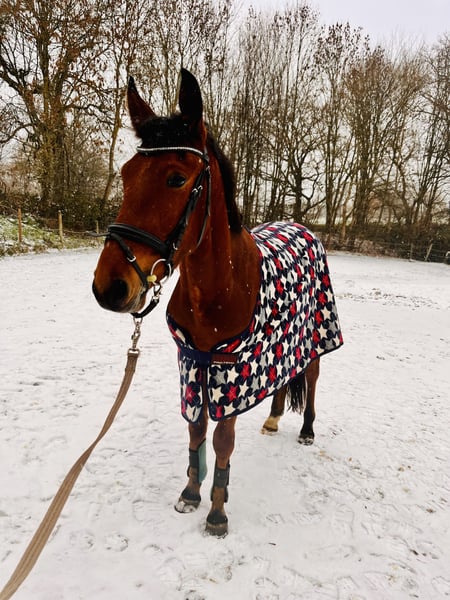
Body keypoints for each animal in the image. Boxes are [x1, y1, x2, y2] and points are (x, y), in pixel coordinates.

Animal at [92, 69, 343, 537]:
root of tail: (303, 228)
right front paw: (191, 493)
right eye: (126, 173)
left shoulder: (231, 370)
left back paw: (306, 430)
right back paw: (273, 418)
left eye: (176, 178)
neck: (217, 289)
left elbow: (223, 441)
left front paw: (217, 512)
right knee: (282, 380)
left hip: (314, 338)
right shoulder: (193, 365)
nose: (109, 287)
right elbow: (196, 433)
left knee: (312, 377)